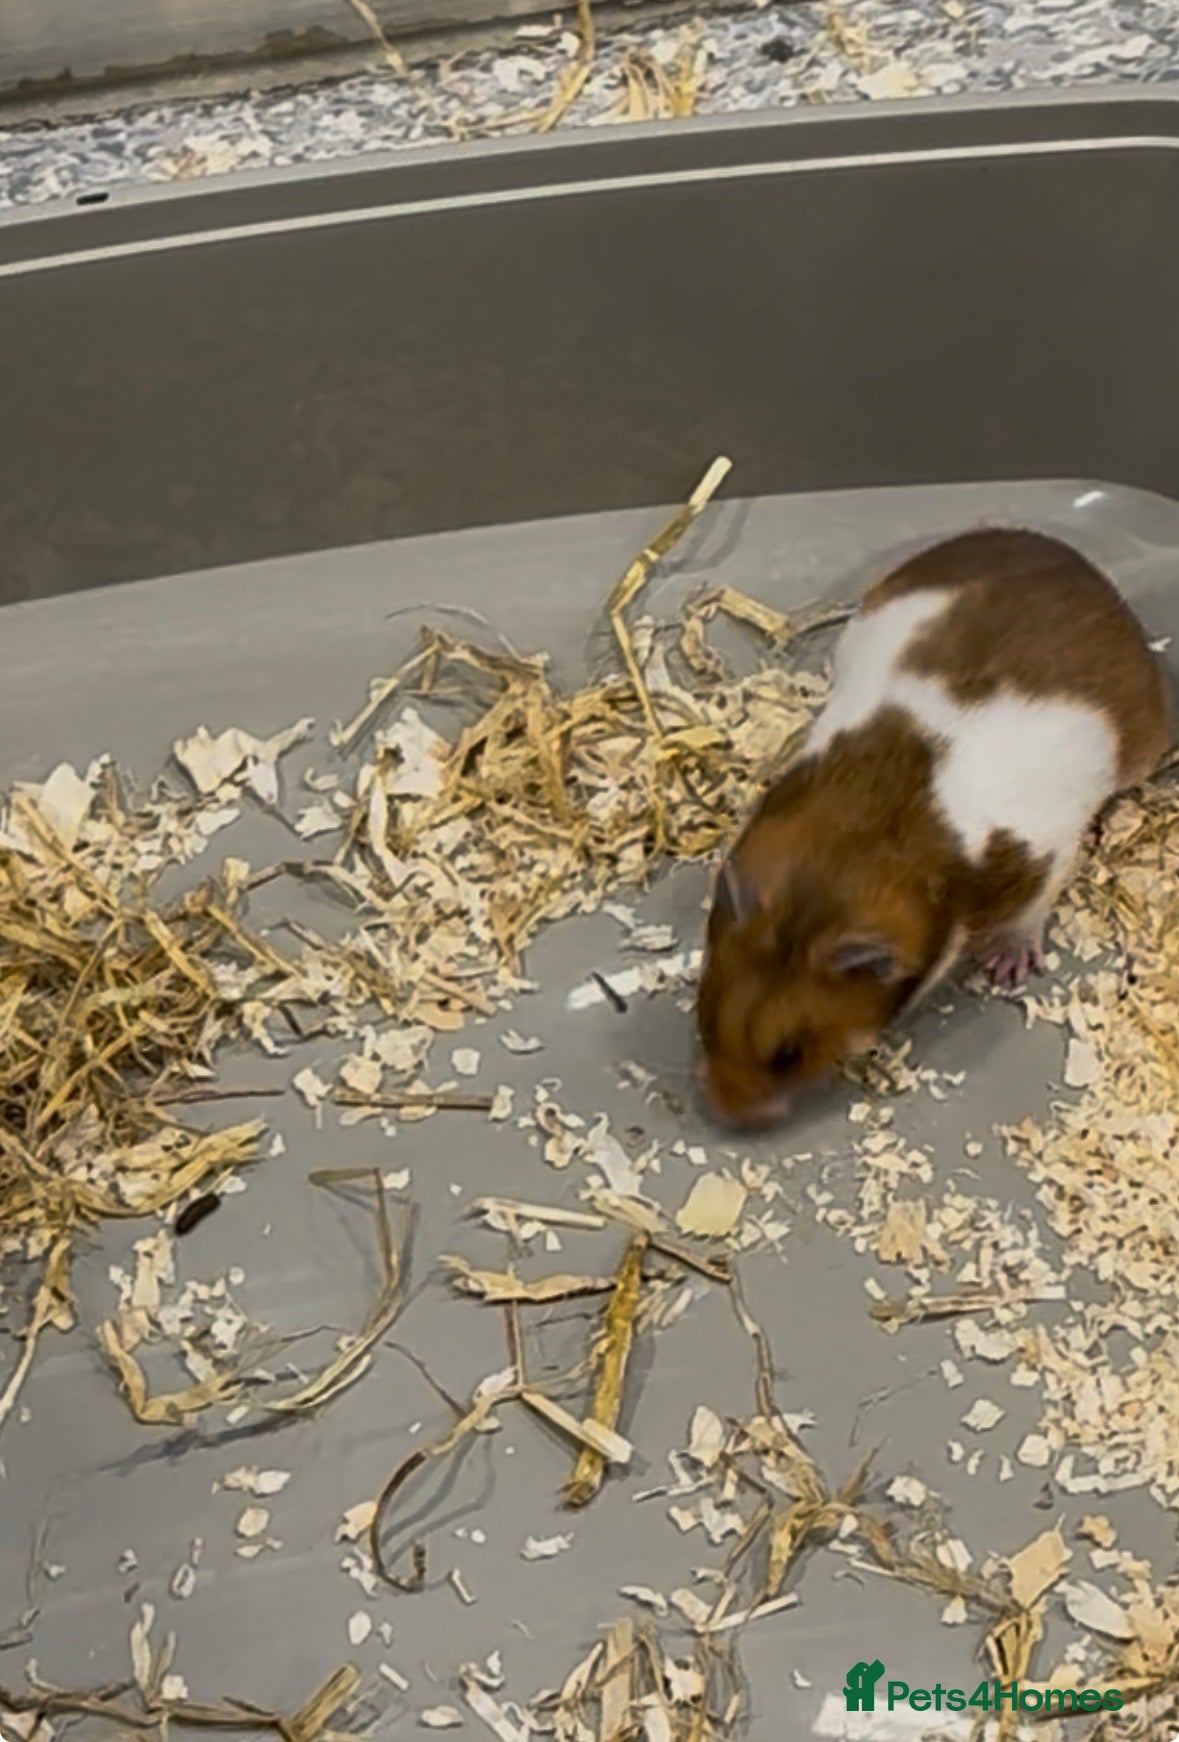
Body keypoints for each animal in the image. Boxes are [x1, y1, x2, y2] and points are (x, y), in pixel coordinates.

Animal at [695, 527, 1172, 1130]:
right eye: (705, 1016)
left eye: (790, 1054)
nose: (725, 1114)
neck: (869, 836)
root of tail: (1077, 563)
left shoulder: (1047, 857)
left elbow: (1030, 913)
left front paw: (1008, 970)